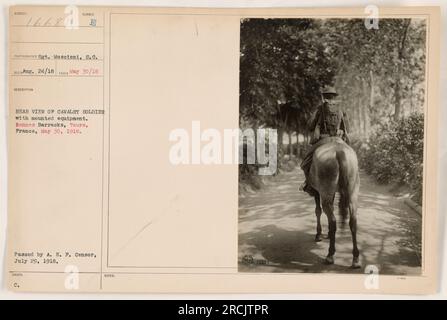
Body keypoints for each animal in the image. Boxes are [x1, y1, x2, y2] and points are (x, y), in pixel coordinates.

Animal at [310, 136, 362, 268]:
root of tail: (339, 152)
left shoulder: (317, 191)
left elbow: (318, 211)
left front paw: (319, 234)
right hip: (352, 193)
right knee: (353, 221)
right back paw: (355, 258)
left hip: (325, 191)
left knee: (332, 220)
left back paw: (330, 255)